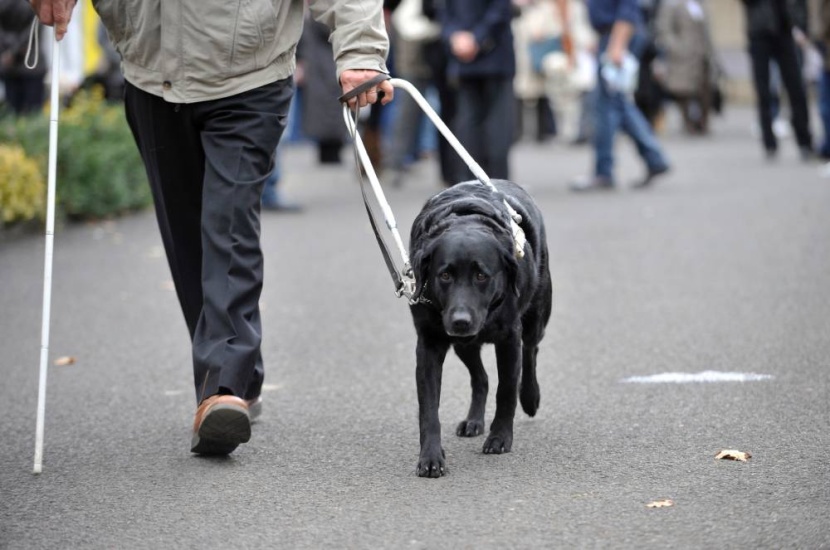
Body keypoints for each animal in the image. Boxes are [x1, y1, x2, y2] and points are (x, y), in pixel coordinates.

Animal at [408, 180, 552, 478]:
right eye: (444, 275)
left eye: (481, 275)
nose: (460, 320)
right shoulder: (429, 343)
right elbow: (429, 408)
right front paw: (430, 457)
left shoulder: (509, 338)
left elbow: (506, 389)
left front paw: (500, 438)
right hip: (463, 343)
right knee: (481, 378)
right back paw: (473, 421)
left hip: (536, 315)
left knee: (531, 351)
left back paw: (530, 397)